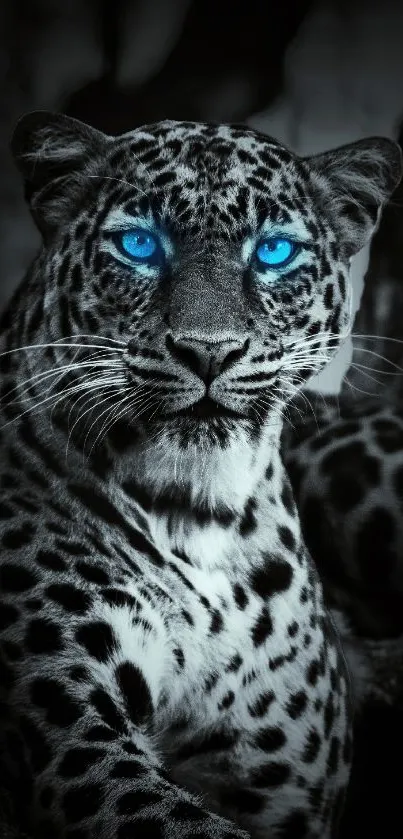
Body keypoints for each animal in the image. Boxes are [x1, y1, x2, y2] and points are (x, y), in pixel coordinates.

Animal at [0, 110, 400, 839]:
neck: (198, 513)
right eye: (138, 244)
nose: (208, 350)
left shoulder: (281, 787)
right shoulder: (73, 743)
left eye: (273, 252)